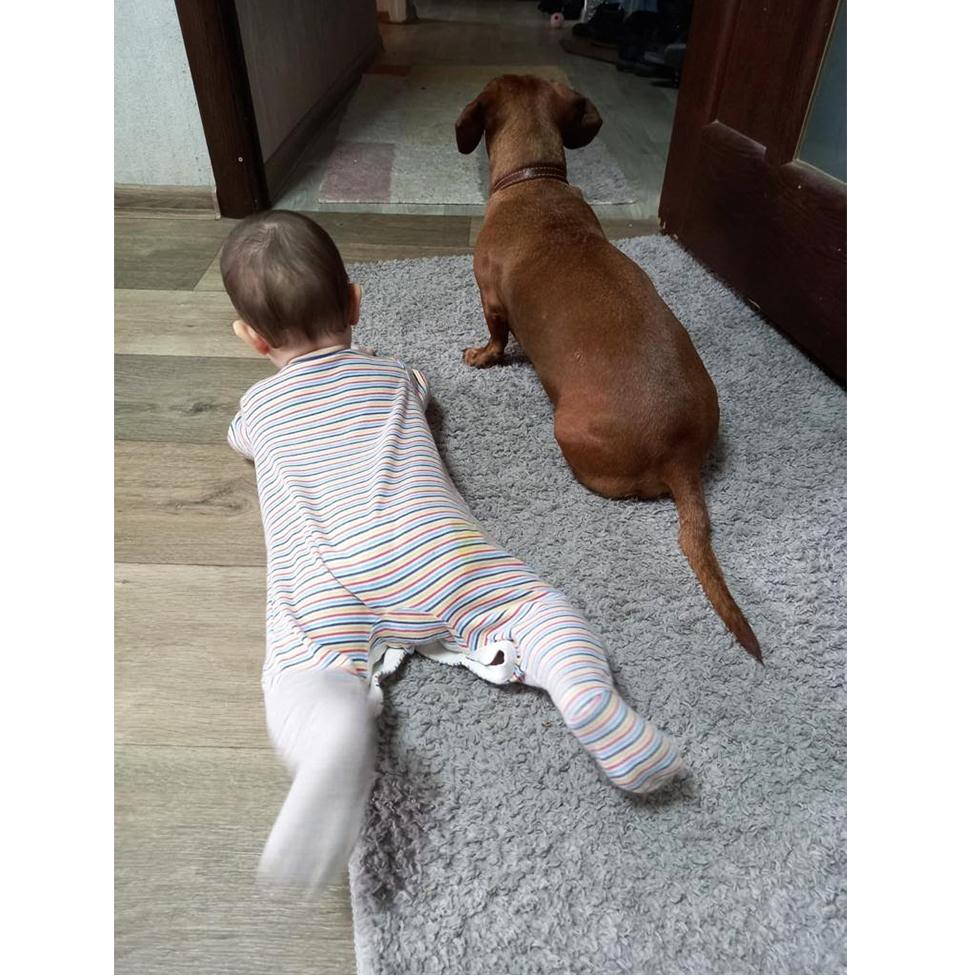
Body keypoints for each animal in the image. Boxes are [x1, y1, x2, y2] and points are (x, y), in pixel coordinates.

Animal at [458, 74, 764, 656]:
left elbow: (496, 339)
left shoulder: (491, 302)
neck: (535, 181)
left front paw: (482, 357)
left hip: (568, 430)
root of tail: (679, 456)